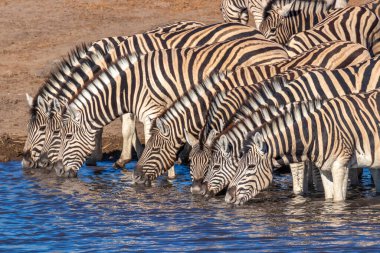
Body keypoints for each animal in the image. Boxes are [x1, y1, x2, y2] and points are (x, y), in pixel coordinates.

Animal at [21, 21, 264, 172]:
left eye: (48, 130)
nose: (25, 161)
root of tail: (255, 32)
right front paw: (119, 155)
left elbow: (125, 127)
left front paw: (121, 158)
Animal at [227, 90, 380, 205]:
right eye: (238, 165)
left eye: (251, 166)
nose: (228, 197)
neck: (316, 133)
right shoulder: (326, 169)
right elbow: (329, 198)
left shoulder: (340, 166)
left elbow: (338, 200)